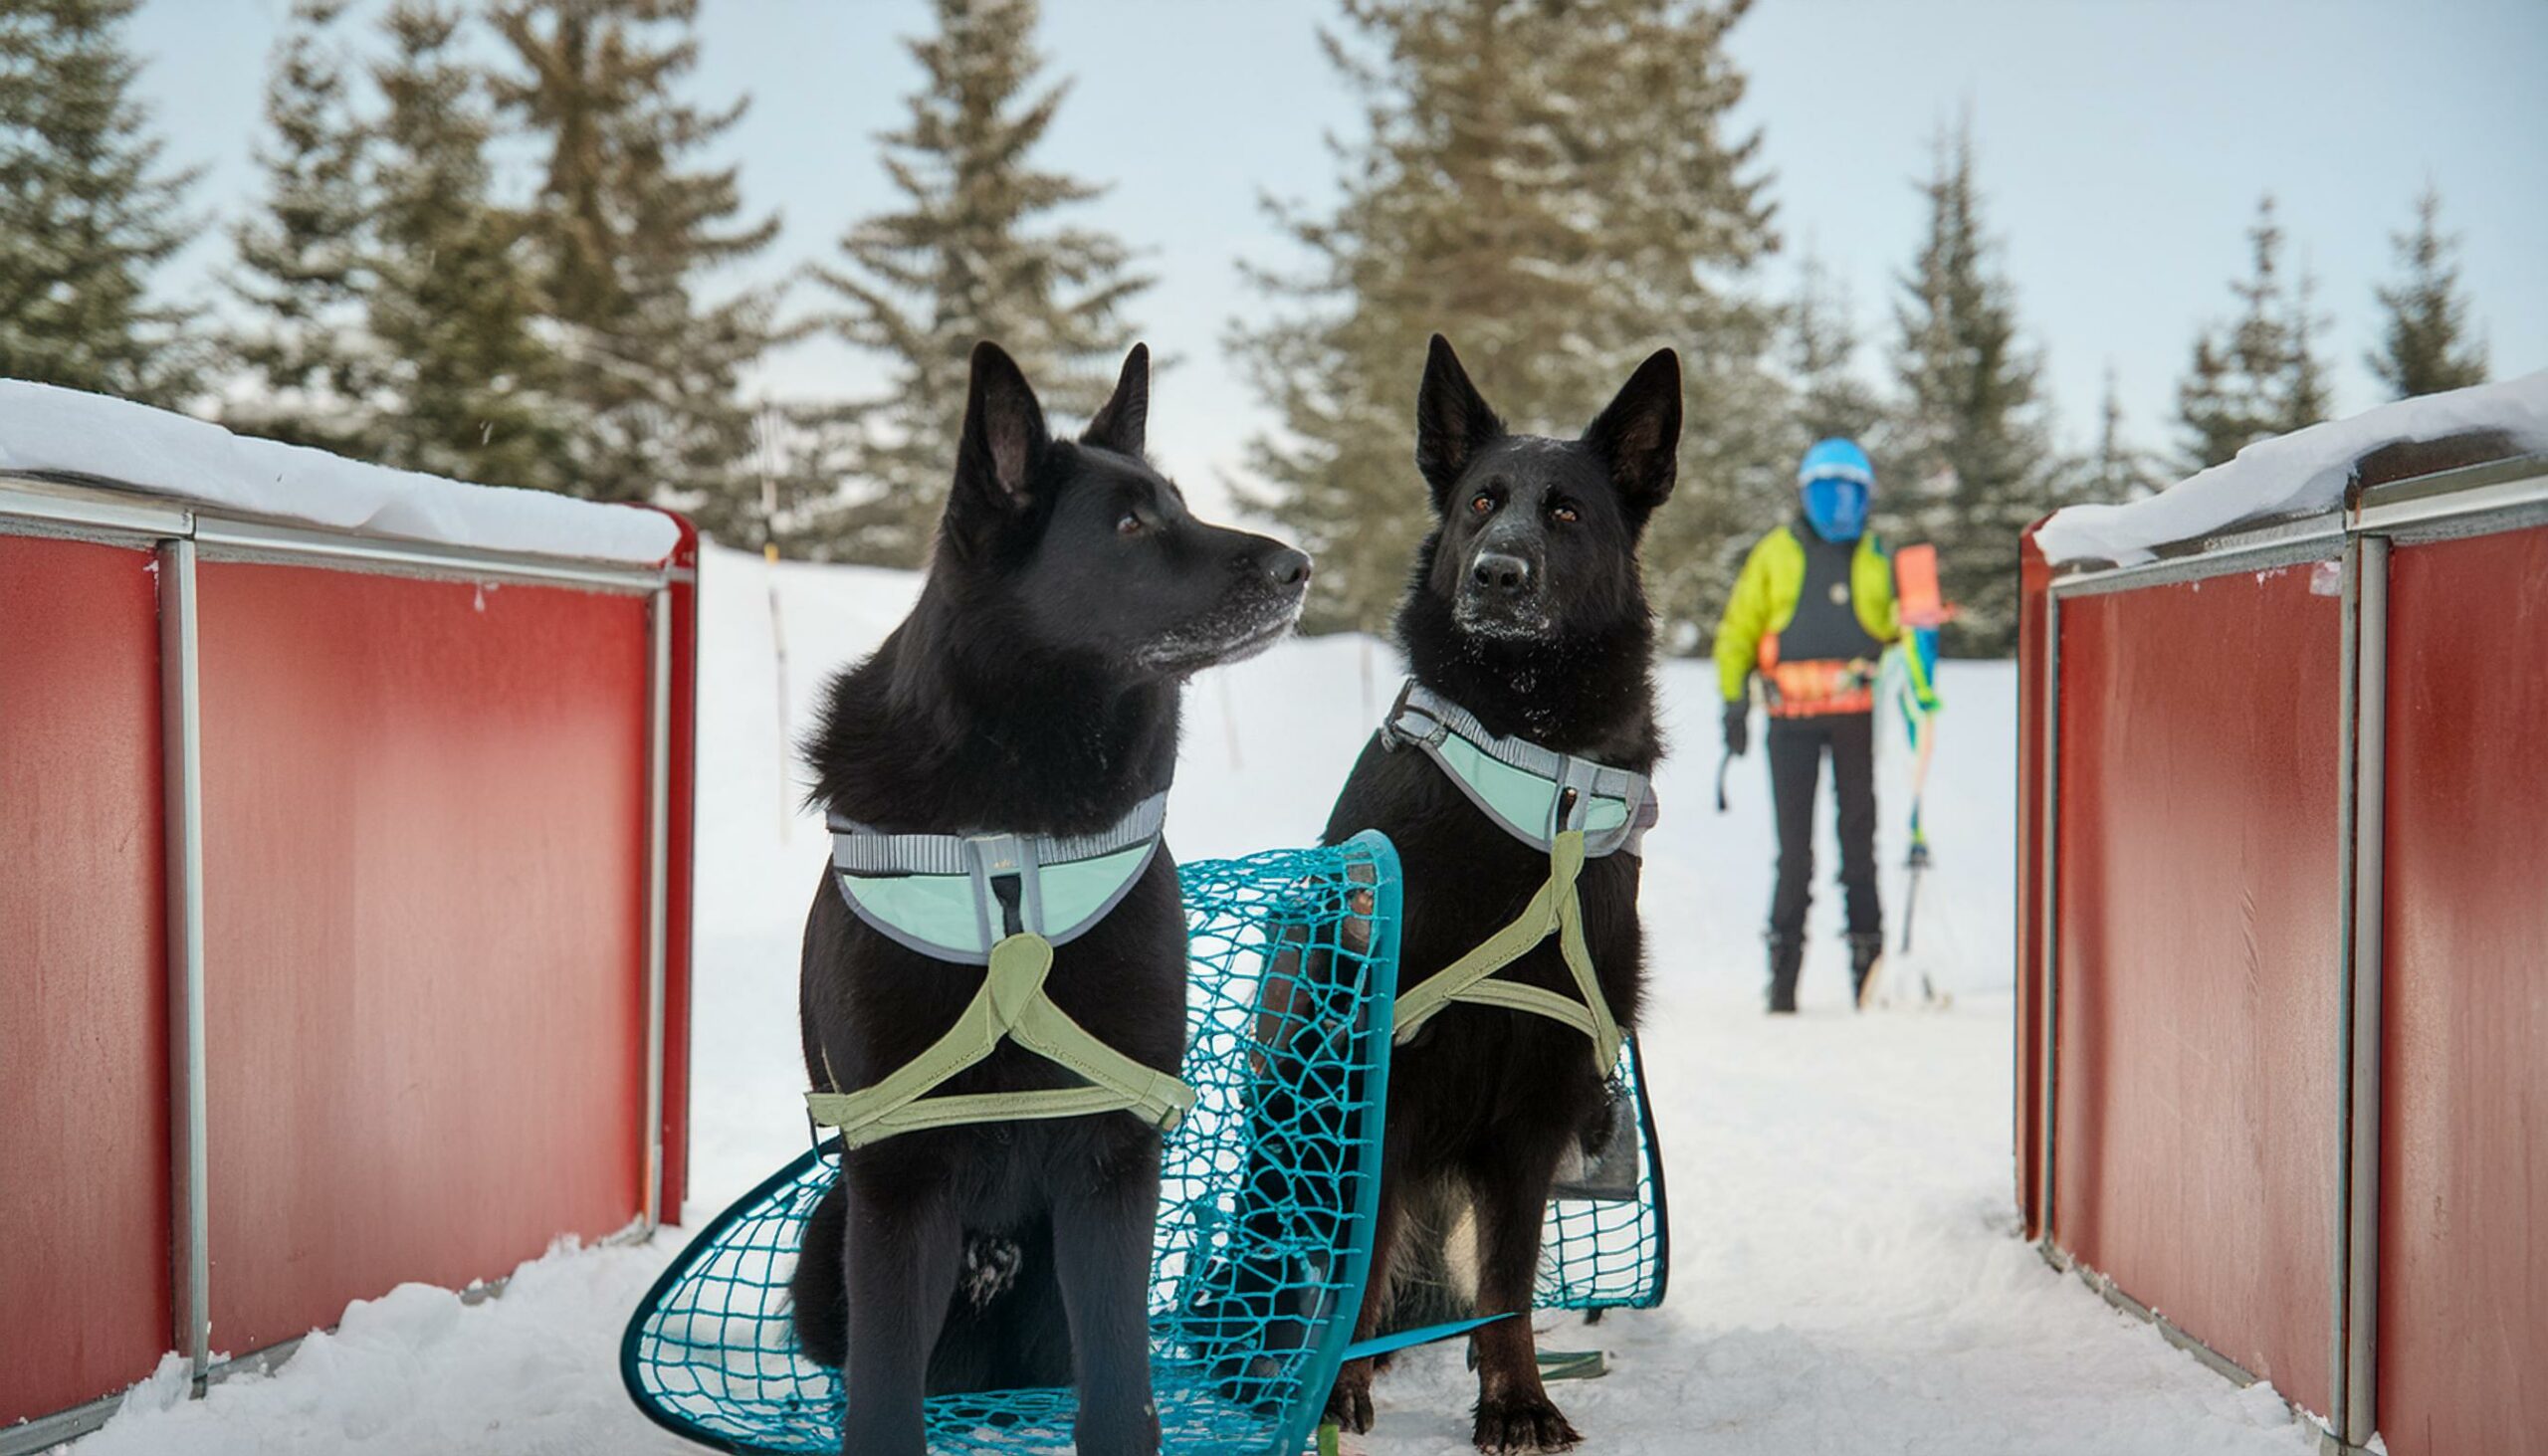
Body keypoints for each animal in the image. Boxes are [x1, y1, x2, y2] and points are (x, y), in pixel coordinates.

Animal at [1314, 336, 1691, 1448]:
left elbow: (1510, 1281)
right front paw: (1336, 1396)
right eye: (1482, 502)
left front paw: (1517, 1397)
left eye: (1565, 512)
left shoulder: (1539, 1101)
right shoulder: (1385, 1079)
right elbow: (1363, 1261)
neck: (1530, 759)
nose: (1497, 572)